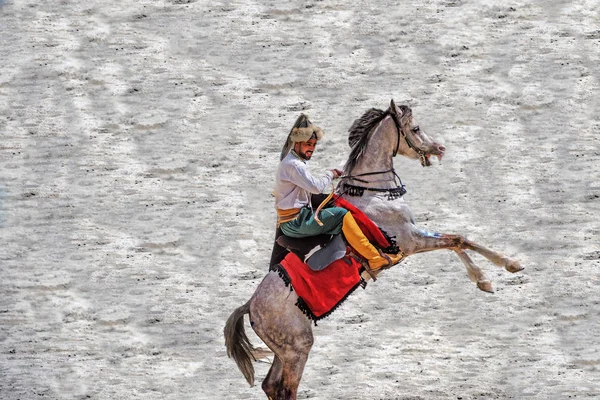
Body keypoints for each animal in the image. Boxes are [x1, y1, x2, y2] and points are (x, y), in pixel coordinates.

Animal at [223, 100, 524, 400]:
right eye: (416, 128)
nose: (439, 148)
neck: (373, 193)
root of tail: (250, 306)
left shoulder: (415, 235)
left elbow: (458, 241)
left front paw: (489, 277)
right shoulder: (410, 241)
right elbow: (457, 239)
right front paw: (505, 266)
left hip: (284, 351)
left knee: (270, 385)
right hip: (298, 349)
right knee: (285, 388)